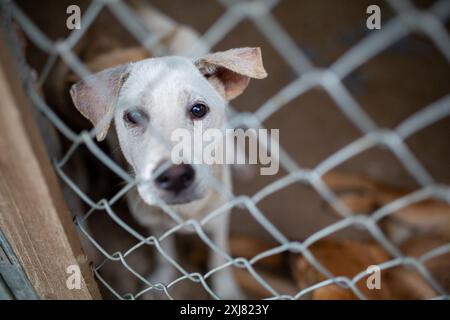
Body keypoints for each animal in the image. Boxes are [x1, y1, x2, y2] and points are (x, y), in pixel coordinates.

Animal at [70, 47, 268, 300]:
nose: (174, 176)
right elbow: (164, 254)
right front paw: (159, 283)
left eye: (198, 110)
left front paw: (226, 290)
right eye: (134, 116)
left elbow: (219, 257)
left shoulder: (219, 220)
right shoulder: (156, 225)